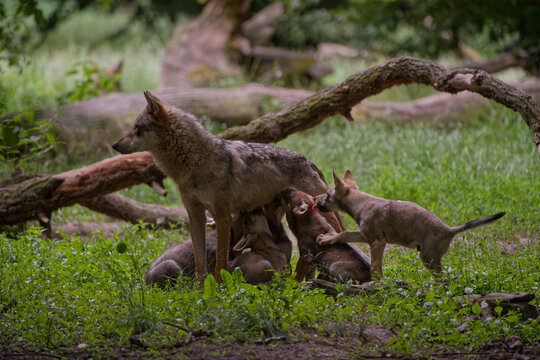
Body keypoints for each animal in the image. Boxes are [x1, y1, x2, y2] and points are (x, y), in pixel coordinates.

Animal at [112, 91, 344, 282]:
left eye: (137, 129)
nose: (114, 145)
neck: (194, 163)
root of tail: (310, 163)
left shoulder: (222, 216)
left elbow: (220, 264)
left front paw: (218, 289)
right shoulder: (196, 216)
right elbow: (200, 265)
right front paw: (200, 292)